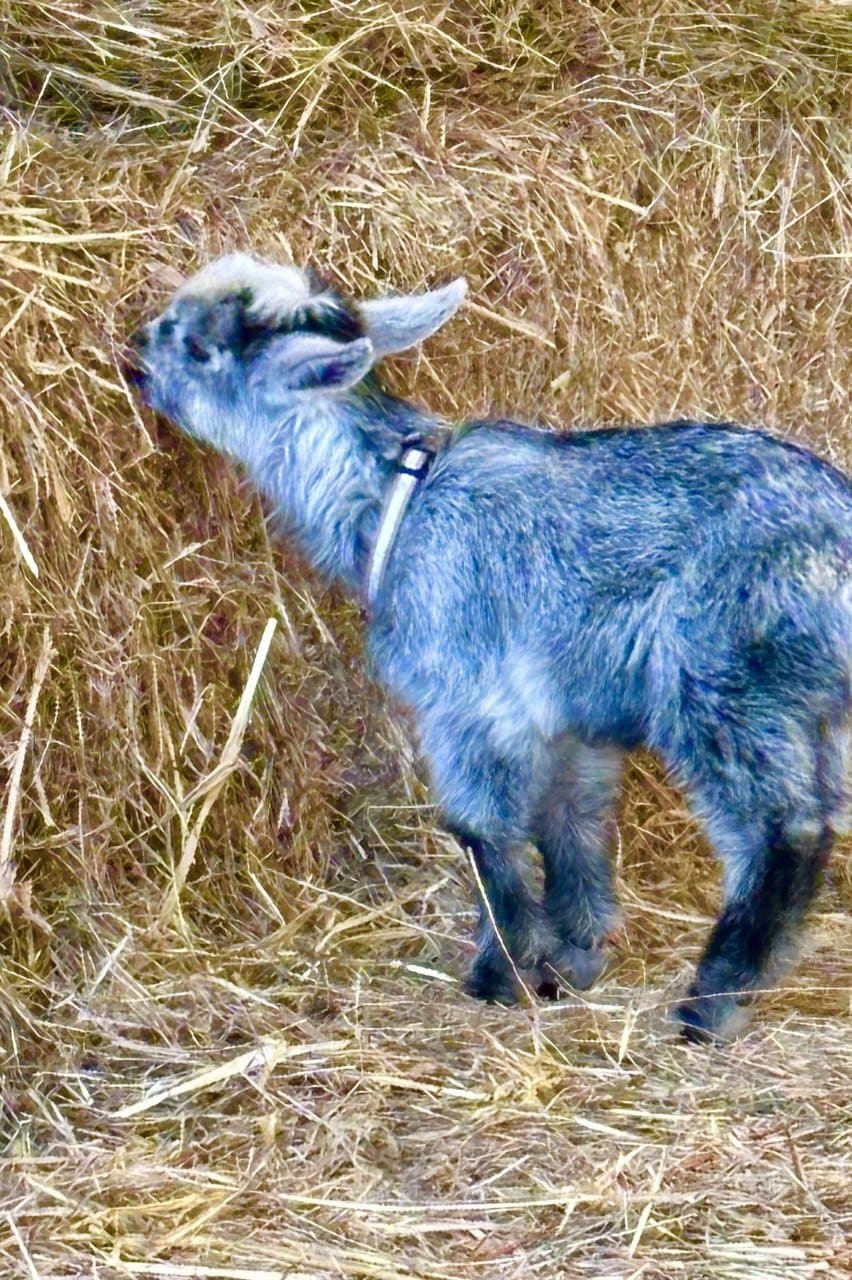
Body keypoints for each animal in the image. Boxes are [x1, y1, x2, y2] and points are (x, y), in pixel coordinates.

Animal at [127, 252, 852, 1042]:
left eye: (200, 348)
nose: (135, 355)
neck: (395, 501)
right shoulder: (566, 717)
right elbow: (573, 823)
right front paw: (575, 957)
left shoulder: (467, 699)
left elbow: (481, 831)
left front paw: (499, 974)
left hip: (721, 682)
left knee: (782, 828)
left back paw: (711, 1002)